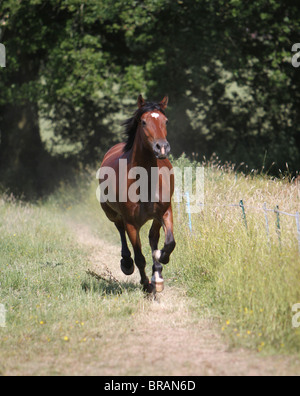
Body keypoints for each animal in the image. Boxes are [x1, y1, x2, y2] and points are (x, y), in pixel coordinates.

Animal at [99, 95, 177, 294]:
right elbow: (140, 257)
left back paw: (157, 272)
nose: (162, 148)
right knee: (120, 229)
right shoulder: (132, 224)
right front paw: (146, 285)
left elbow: (169, 242)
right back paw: (127, 263)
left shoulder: (165, 213)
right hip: (111, 214)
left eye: (166, 121)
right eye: (143, 122)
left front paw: (161, 260)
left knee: (153, 237)